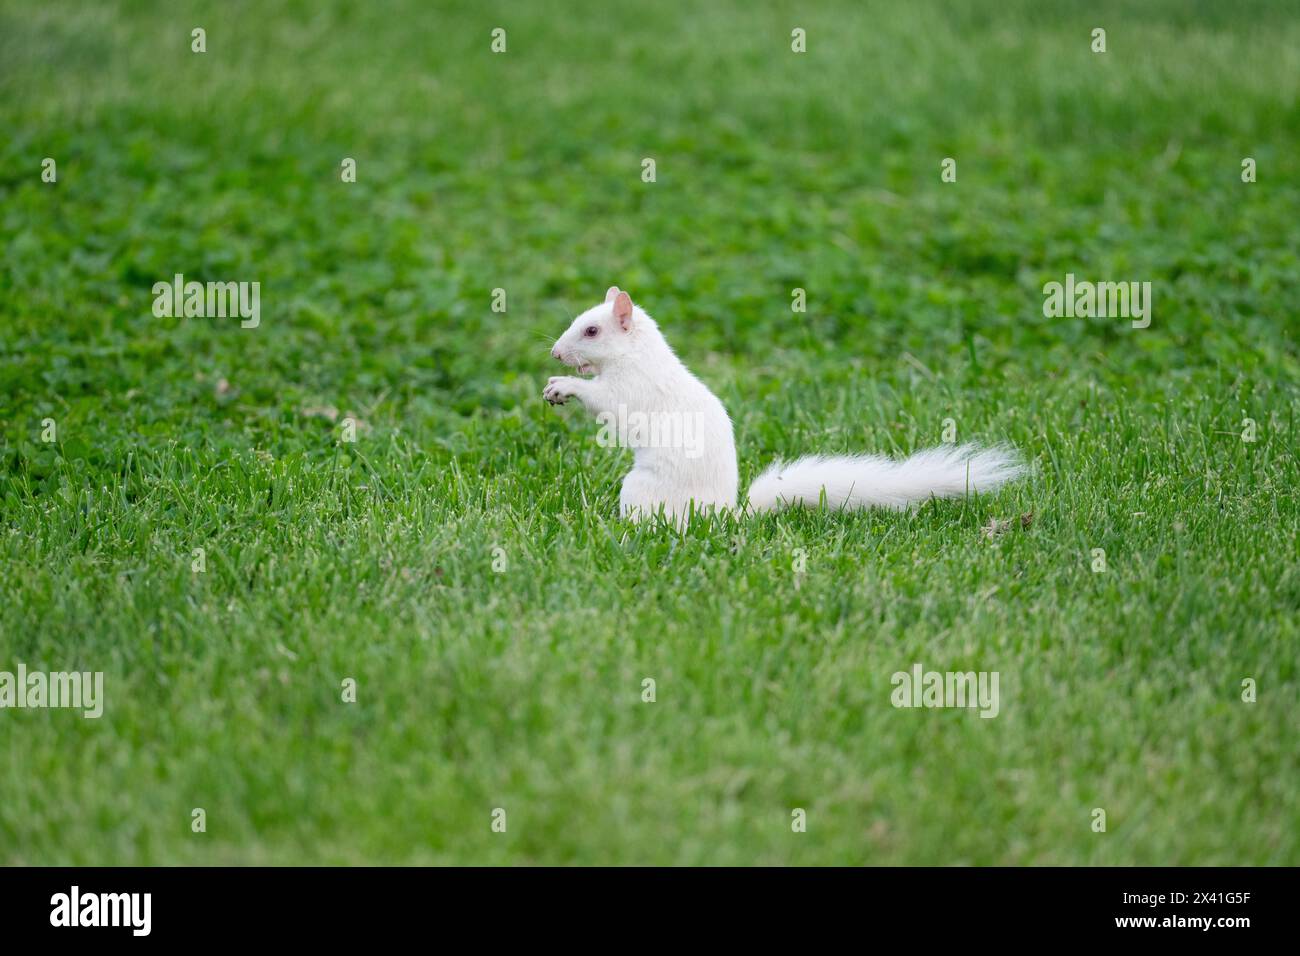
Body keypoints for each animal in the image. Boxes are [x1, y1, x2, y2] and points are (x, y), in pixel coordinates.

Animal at [545, 287, 1023, 524]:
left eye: (590, 331)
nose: (554, 354)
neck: (636, 354)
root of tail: (725, 518)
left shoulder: (631, 389)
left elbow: (604, 401)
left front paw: (564, 386)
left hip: (642, 490)